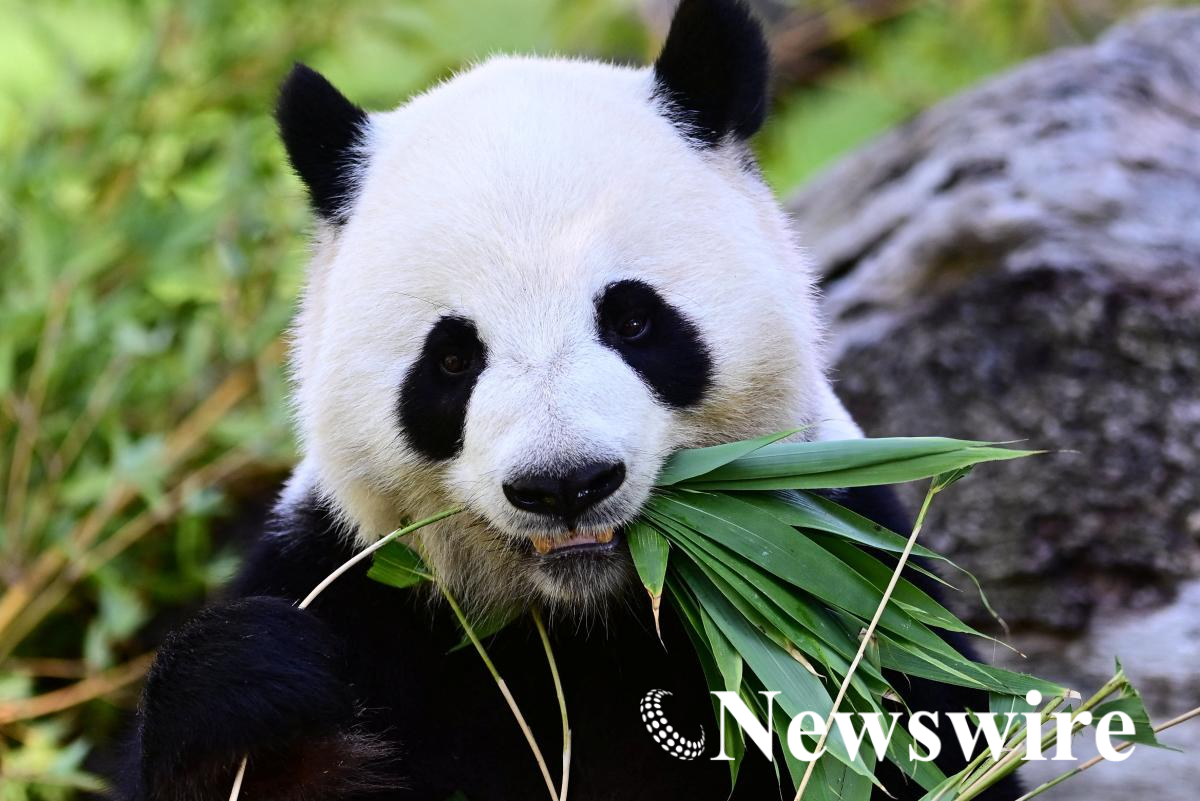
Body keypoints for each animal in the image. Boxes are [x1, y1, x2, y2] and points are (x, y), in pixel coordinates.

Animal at [120, 1, 1019, 799]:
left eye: (633, 319)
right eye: (452, 359)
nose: (564, 484)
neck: (585, 619)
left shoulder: (845, 581)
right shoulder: (360, 581)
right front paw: (255, 693)